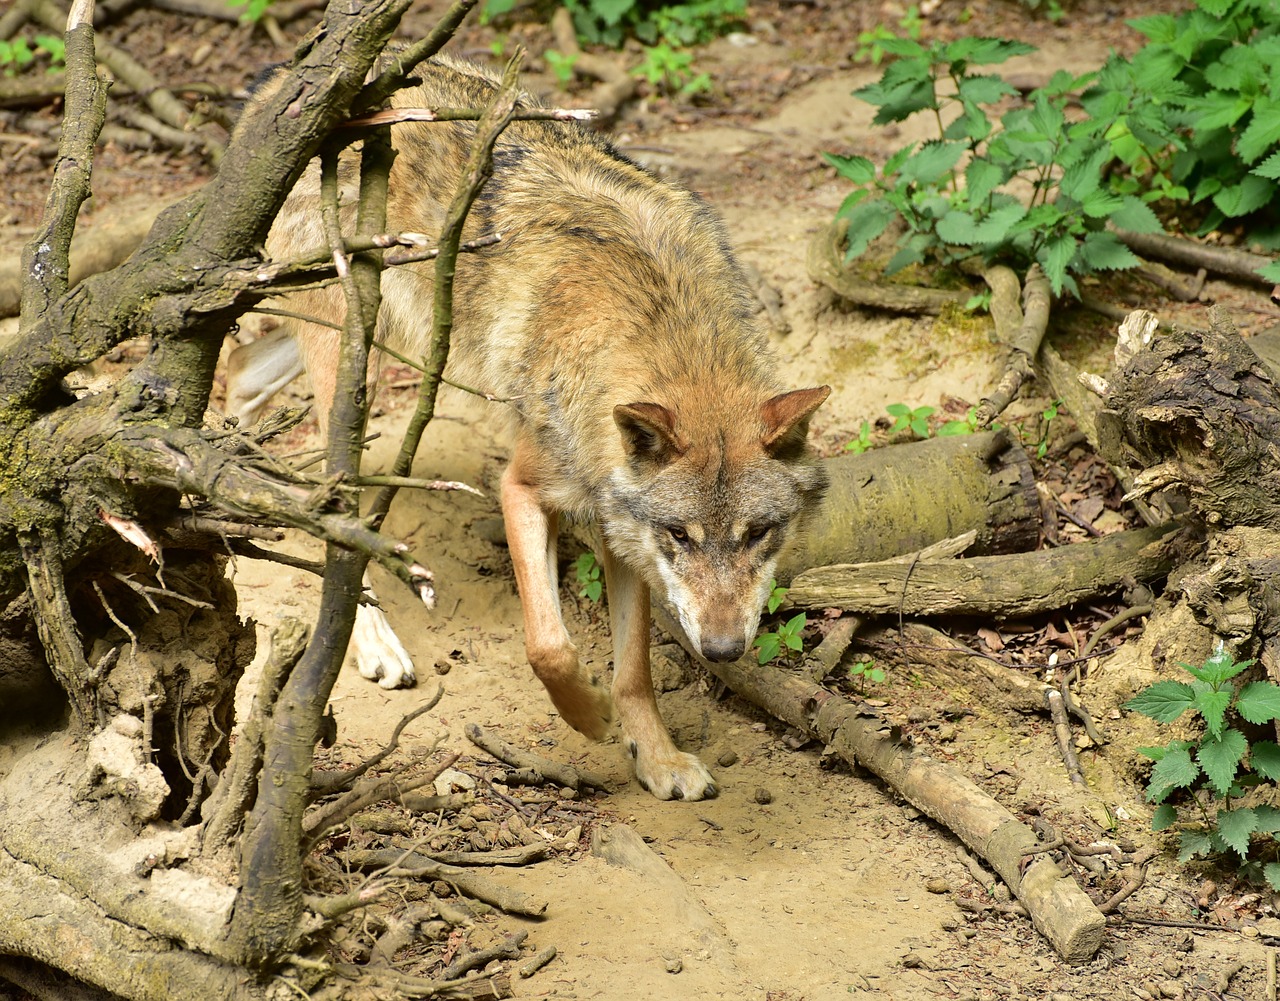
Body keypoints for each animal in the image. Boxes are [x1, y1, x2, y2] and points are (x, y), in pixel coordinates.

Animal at [229, 58, 829, 803]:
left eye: (758, 533)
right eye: (681, 535)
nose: (722, 650)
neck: (662, 325)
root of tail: (276, 82)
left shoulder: (618, 526)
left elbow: (634, 670)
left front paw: (657, 758)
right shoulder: (522, 488)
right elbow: (549, 645)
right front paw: (590, 717)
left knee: (240, 377)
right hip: (356, 371)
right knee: (332, 498)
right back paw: (371, 639)